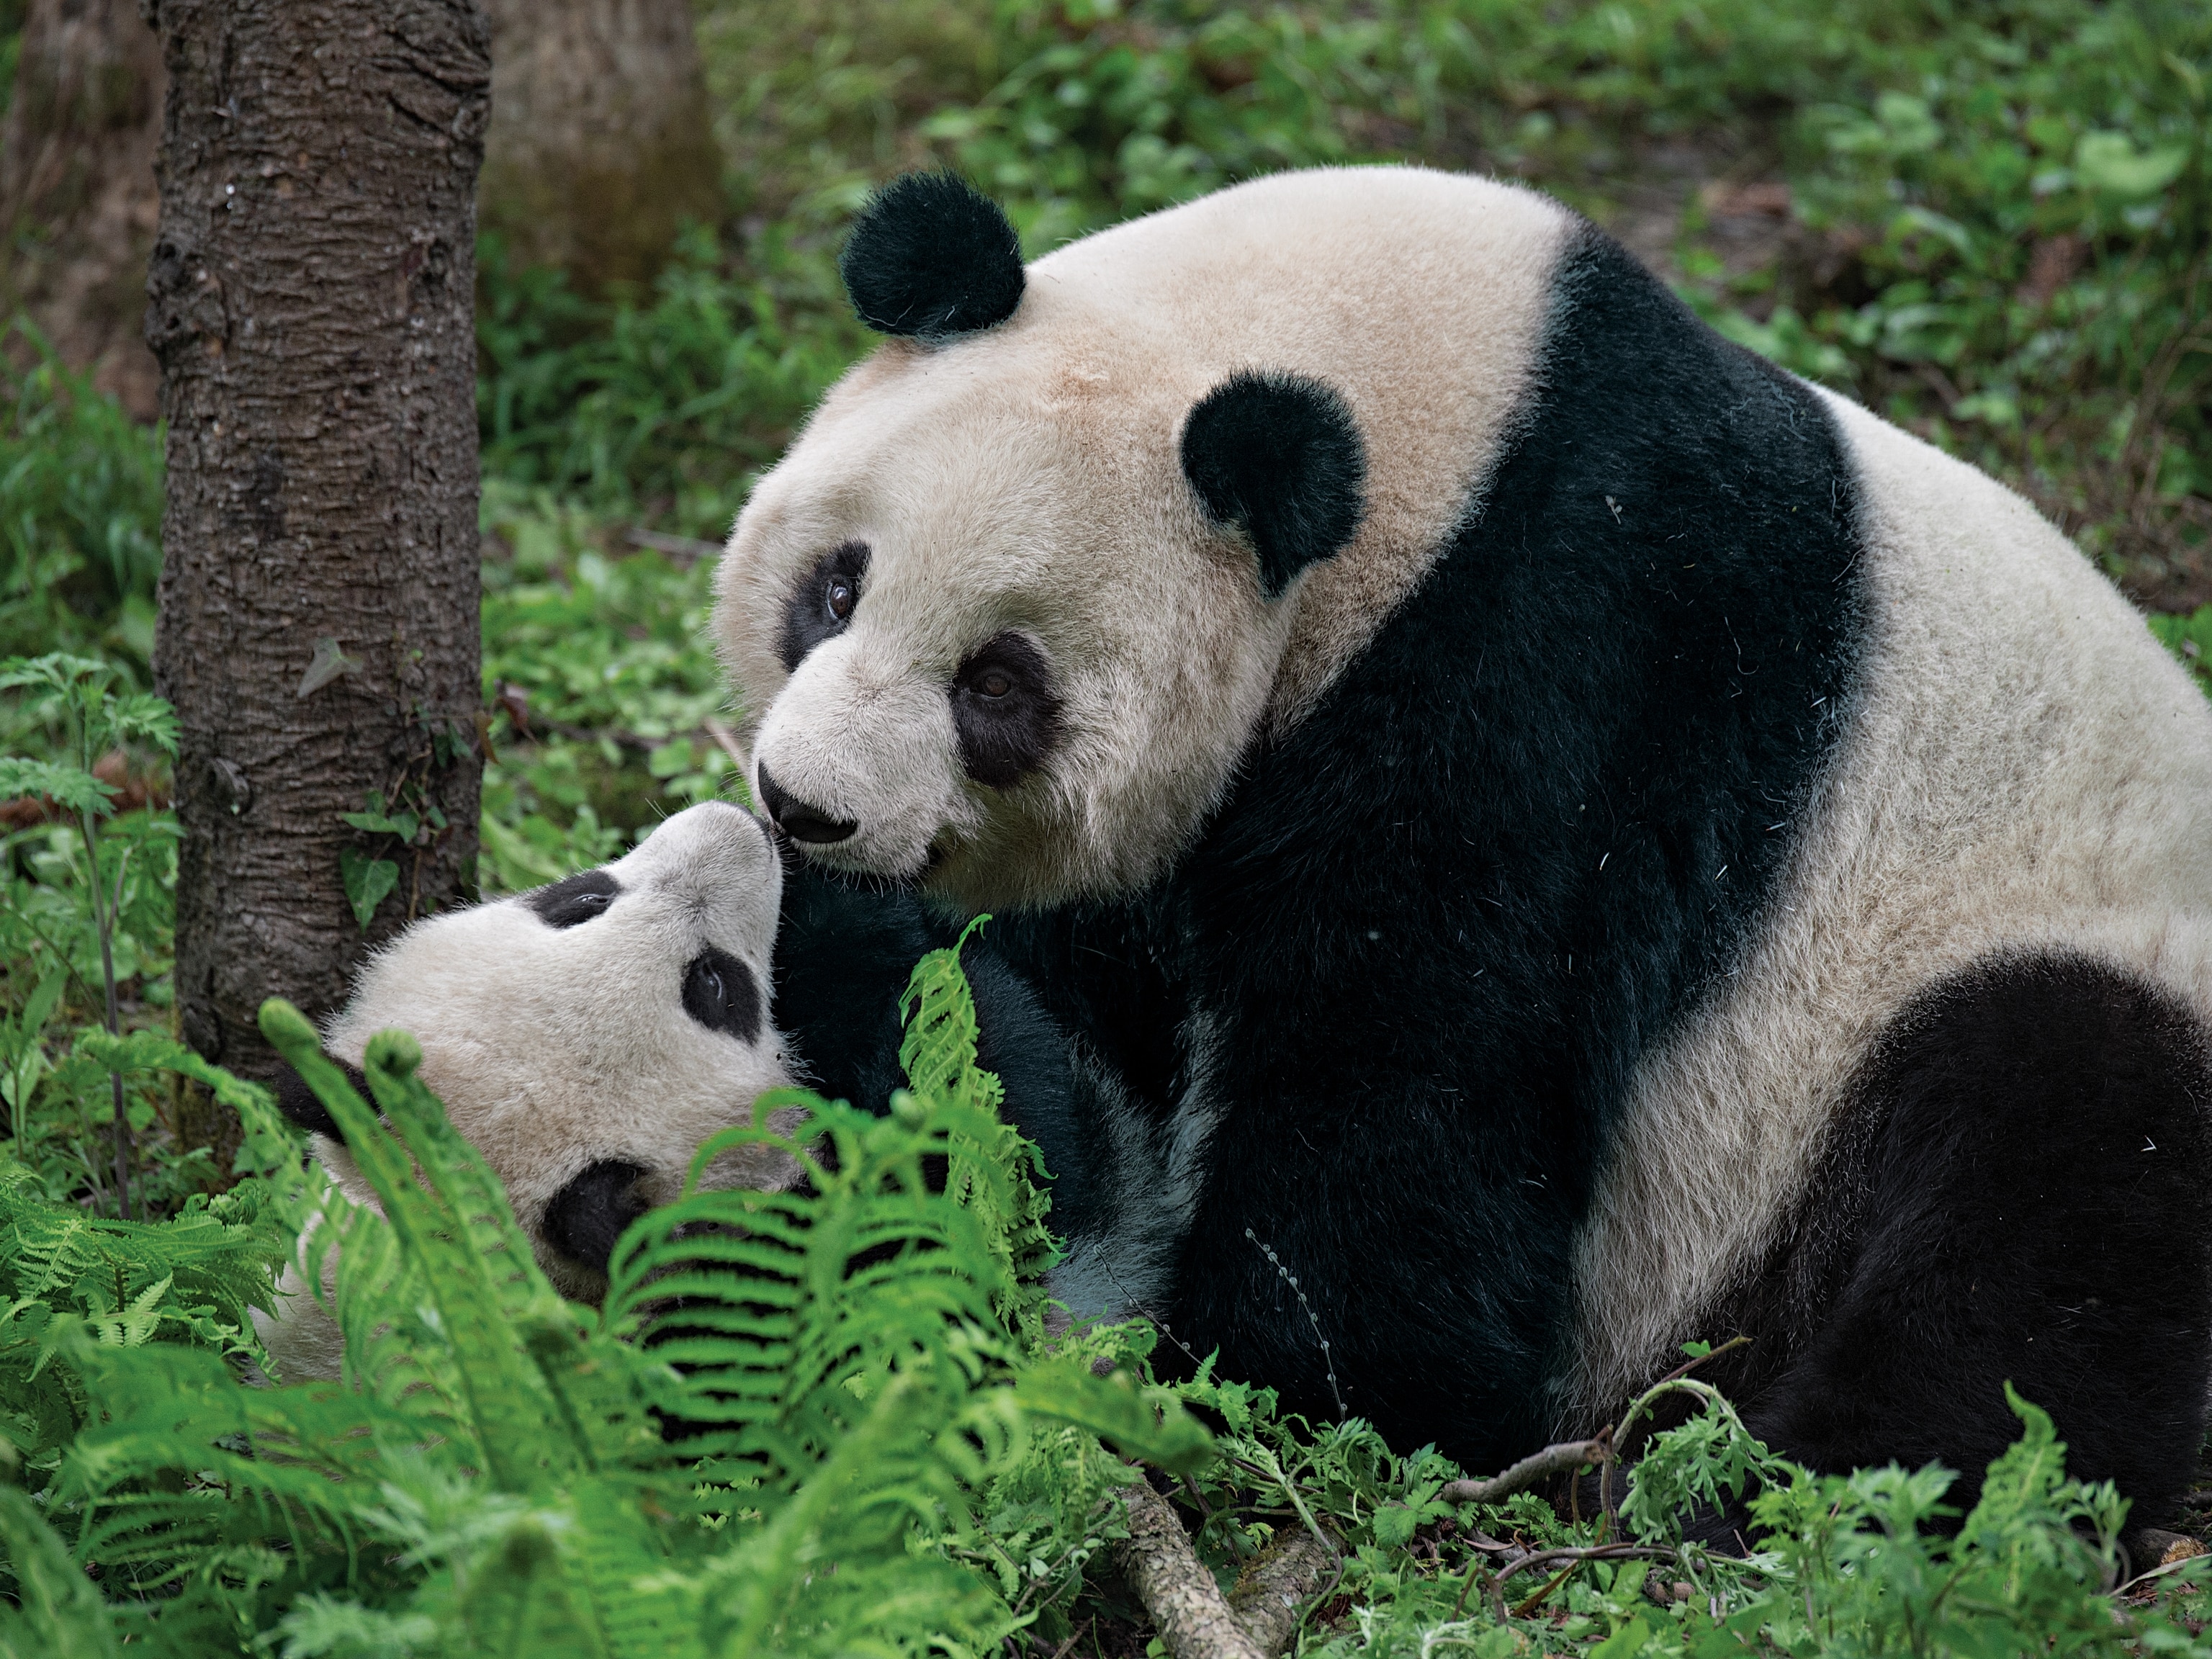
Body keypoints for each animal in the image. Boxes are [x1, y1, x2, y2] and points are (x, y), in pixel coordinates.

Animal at [716, 164, 2212, 1523]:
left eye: (998, 685)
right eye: (835, 586)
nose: (805, 803)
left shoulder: (1562, 661)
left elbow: (1417, 1077)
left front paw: (1267, 1383)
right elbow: (1055, 1068)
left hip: (2027, 963)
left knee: (2046, 1205)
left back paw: (1788, 1484)